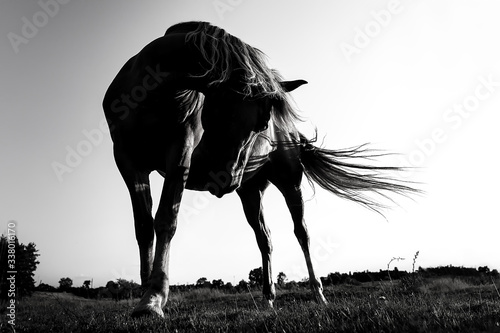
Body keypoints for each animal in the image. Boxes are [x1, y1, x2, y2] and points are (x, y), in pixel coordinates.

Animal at [102, 20, 418, 316]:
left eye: (263, 123)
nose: (226, 179)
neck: (152, 92)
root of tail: (292, 133)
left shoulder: (179, 154)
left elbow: (166, 219)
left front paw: (155, 299)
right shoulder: (127, 161)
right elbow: (144, 227)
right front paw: (145, 296)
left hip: (290, 183)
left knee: (302, 233)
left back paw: (318, 294)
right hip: (251, 192)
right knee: (264, 240)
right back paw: (268, 299)